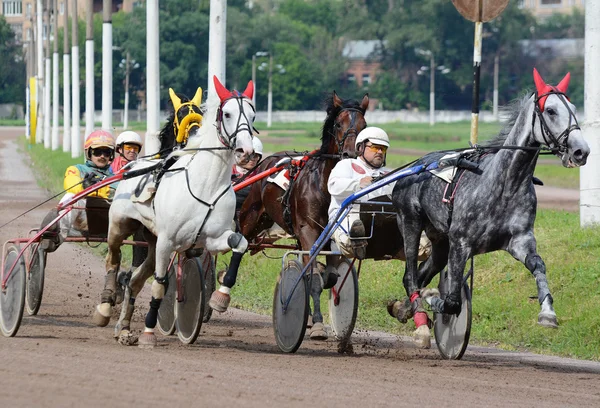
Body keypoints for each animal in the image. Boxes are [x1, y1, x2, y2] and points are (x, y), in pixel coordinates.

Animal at [93, 76, 255, 348]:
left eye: (253, 116)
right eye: (228, 114)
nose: (246, 152)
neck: (206, 186)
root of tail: (132, 166)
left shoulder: (213, 239)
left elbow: (240, 245)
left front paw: (220, 298)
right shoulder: (167, 241)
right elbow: (160, 285)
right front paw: (149, 331)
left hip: (150, 239)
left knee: (135, 281)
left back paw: (124, 329)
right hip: (119, 227)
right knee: (113, 261)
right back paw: (105, 307)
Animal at [237, 91, 368, 342]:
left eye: (364, 126)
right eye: (338, 124)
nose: (350, 154)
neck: (324, 184)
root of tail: (266, 162)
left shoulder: (329, 235)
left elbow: (329, 277)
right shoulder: (308, 230)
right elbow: (314, 277)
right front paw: (316, 324)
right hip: (252, 215)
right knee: (236, 247)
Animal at [392, 69, 588, 348]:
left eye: (573, 108)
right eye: (550, 110)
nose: (582, 151)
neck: (504, 184)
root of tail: (414, 166)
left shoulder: (520, 241)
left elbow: (539, 266)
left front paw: (548, 313)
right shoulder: (461, 243)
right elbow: (452, 302)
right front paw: (433, 298)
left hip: (440, 241)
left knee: (419, 275)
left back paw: (406, 310)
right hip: (410, 221)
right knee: (410, 276)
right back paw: (419, 315)